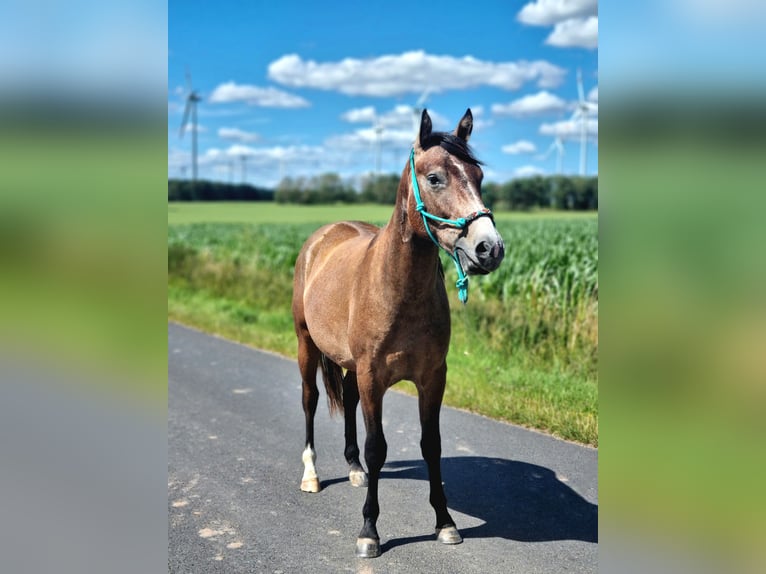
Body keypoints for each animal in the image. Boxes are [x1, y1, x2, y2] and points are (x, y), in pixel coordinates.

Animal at [292, 108, 508, 560]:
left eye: (478, 175)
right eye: (435, 178)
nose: (489, 248)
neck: (398, 289)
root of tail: (324, 234)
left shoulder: (432, 377)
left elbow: (432, 445)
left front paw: (445, 522)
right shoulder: (374, 376)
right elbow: (378, 448)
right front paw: (369, 531)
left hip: (350, 366)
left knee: (347, 400)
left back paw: (353, 469)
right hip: (306, 345)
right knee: (310, 400)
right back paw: (311, 474)